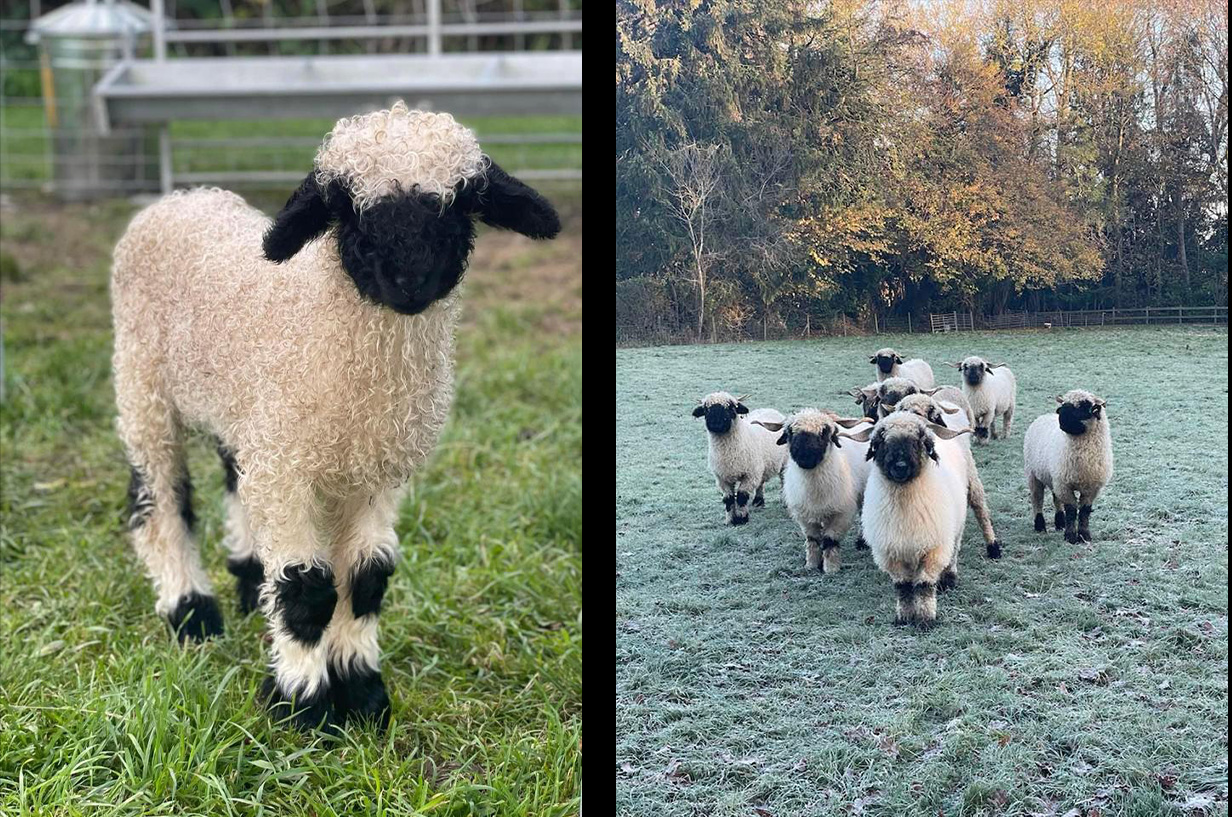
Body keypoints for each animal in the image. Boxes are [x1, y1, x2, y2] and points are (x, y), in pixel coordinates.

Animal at [111, 101, 561, 732]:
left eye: (461, 204)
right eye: (348, 211)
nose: (409, 283)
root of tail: (178, 198)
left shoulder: (373, 472)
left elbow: (366, 580)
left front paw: (362, 691)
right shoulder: (289, 469)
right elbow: (308, 590)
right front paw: (303, 704)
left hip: (243, 413)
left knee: (233, 480)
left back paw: (247, 583)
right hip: (143, 388)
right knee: (158, 498)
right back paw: (191, 612)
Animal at [692, 392, 788, 525]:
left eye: (730, 407)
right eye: (706, 409)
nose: (716, 424)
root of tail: (769, 409)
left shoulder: (749, 475)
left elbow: (742, 496)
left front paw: (742, 519)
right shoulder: (722, 477)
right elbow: (728, 499)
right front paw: (730, 520)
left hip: (783, 463)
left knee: (783, 481)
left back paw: (784, 502)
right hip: (760, 467)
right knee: (760, 482)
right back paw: (758, 502)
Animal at [749, 410, 872, 573]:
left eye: (824, 431)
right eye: (790, 432)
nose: (805, 457)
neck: (814, 487)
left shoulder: (841, 514)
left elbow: (830, 540)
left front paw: (831, 568)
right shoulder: (805, 515)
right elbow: (813, 540)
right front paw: (812, 565)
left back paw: (862, 542)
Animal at [839, 414, 973, 626]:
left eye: (918, 439)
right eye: (881, 440)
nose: (900, 467)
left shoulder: (932, 551)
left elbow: (924, 586)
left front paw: (926, 620)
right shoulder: (892, 554)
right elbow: (904, 587)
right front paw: (904, 618)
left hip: (955, 529)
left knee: (953, 554)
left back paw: (949, 580)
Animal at [1023, 390, 1114, 545]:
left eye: (1084, 406)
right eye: (1064, 404)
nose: (1061, 415)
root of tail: (1043, 416)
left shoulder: (1092, 488)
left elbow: (1084, 512)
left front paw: (1084, 536)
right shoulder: (1064, 485)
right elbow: (1071, 510)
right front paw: (1070, 537)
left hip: (1054, 478)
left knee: (1056, 499)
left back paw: (1060, 523)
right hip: (1033, 474)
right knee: (1037, 499)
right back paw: (1040, 526)